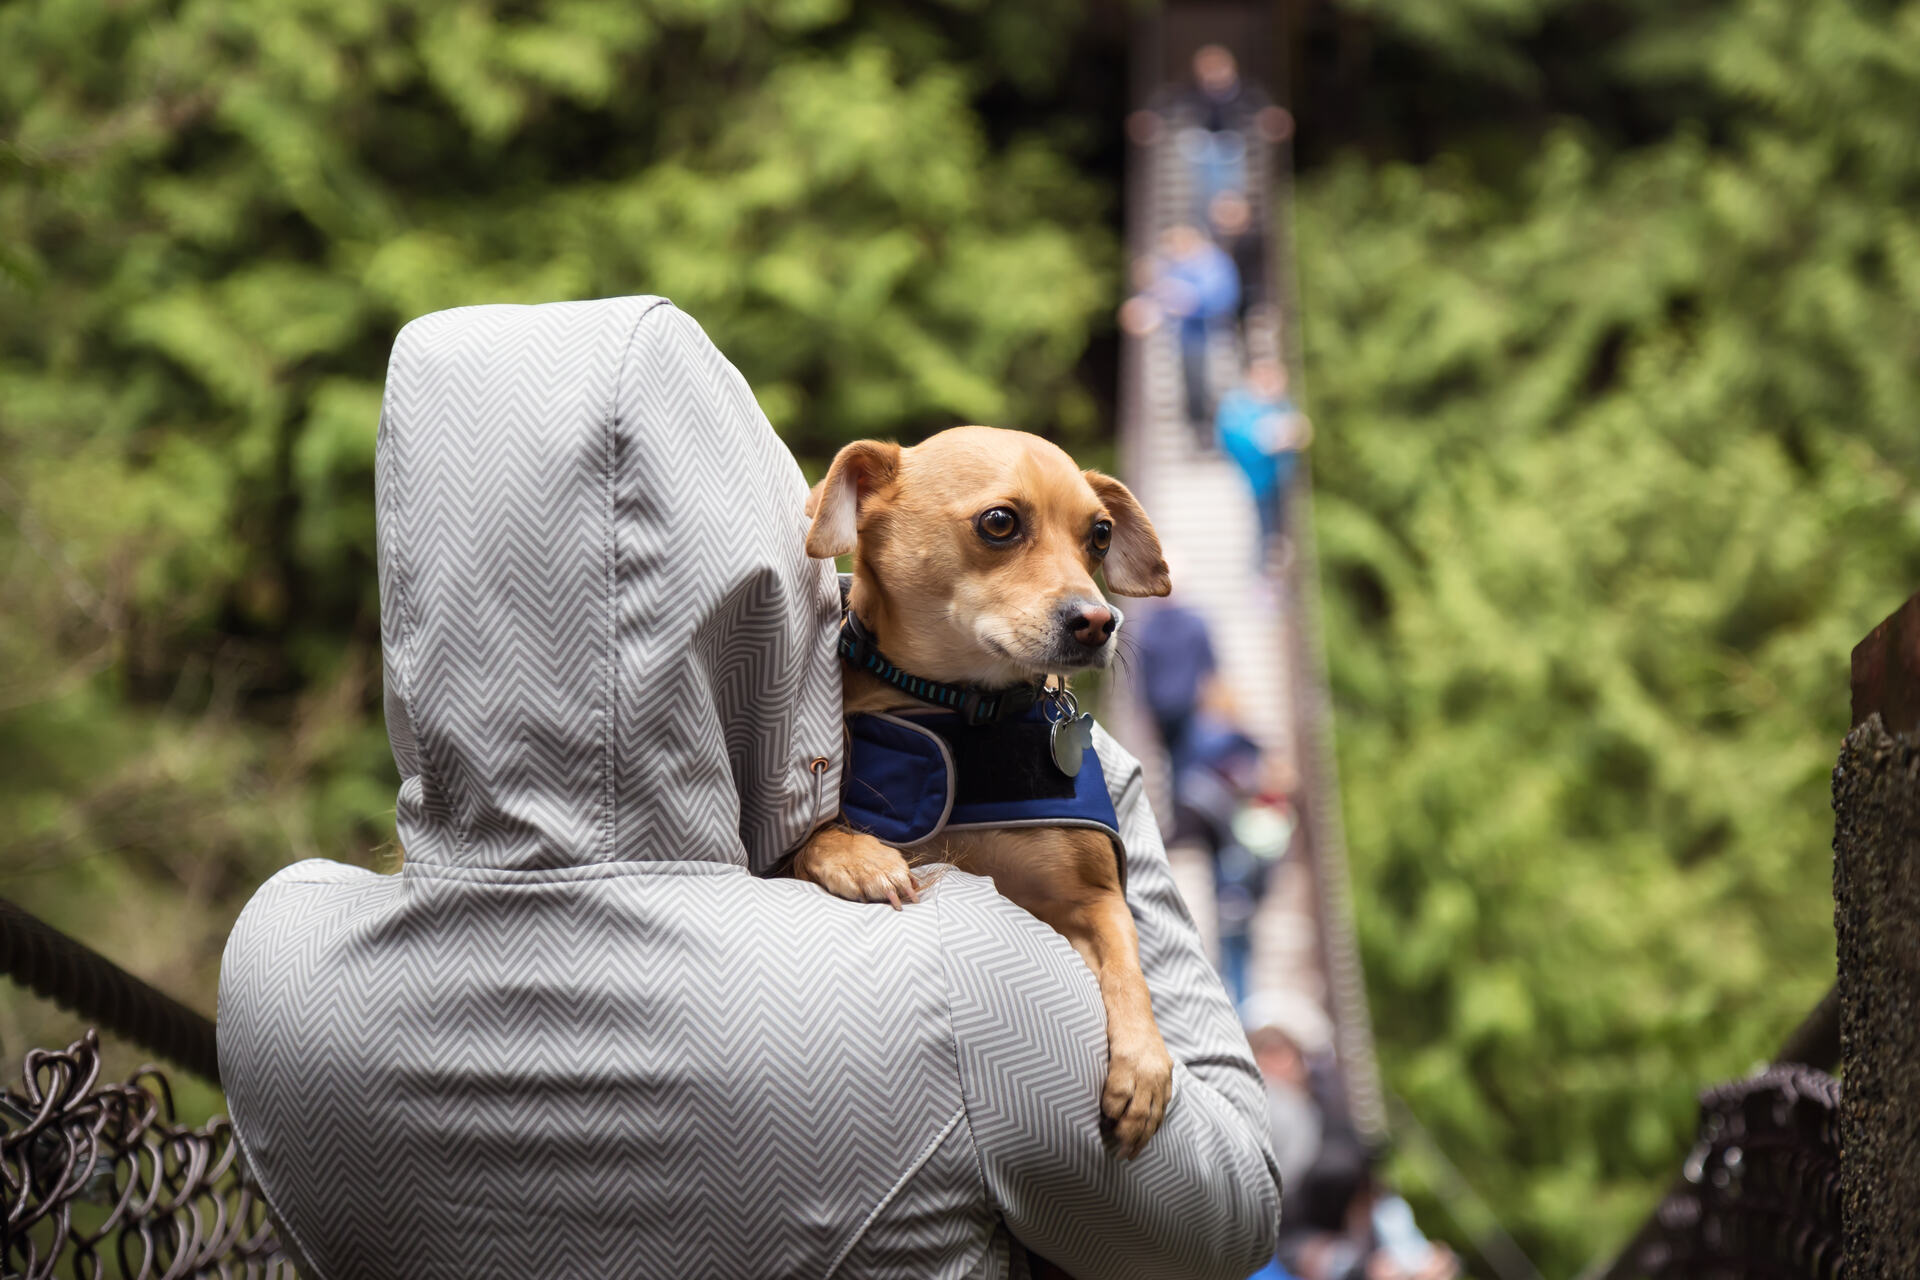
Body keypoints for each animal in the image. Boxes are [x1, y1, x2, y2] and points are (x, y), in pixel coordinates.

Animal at [791, 427, 1175, 1159]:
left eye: (1101, 535)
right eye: (1000, 522)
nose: (1099, 620)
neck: (966, 712)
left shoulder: (1093, 898)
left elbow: (1127, 961)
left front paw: (1144, 1064)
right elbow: (812, 838)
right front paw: (857, 856)